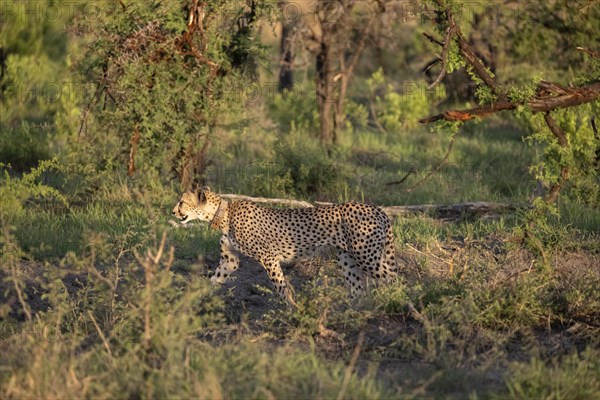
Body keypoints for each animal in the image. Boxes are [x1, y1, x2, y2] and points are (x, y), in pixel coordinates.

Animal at [172, 188, 398, 304]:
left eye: (182, 202)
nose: (173, 211)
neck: (222, 213)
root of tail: (376, 209)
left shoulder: (269, 257)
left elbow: (280, 285)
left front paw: (290, 307)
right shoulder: (230, 260)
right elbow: (216, 278)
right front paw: (196, 295)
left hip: (366, 256)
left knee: (393, 277)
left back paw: (397, 299)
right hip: (347, 258)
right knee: (358, 288)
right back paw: (351, 311)